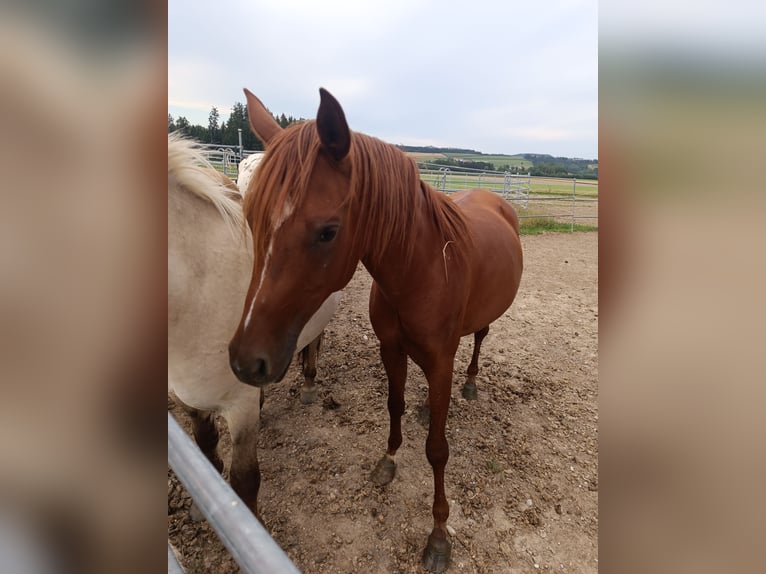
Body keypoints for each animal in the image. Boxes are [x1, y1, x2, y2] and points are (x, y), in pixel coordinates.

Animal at [228, 88, 524, 572]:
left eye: (328, 232)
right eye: (251, 218)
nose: (245, 361)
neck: (421, 269)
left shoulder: (439, 360)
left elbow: (437, 448)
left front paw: (438, 536)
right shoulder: (392, 349)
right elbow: (394, 405)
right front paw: (388, 460)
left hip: (477, 329)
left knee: (478, 339)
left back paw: (470, 384)